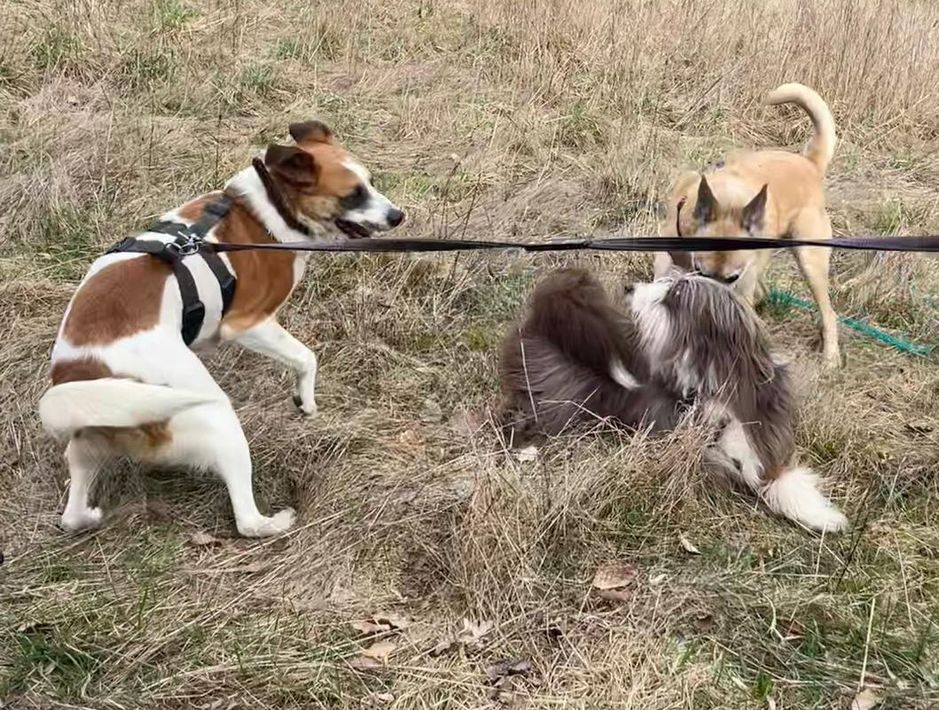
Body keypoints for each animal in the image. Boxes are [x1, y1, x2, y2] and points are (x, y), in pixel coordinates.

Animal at [38, 120, 404, 537]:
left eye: (371, 182)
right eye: (353, 195)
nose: (398, 216)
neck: (266, 210)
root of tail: (88, 370)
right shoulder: (248, 324)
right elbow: (306, 358)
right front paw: (306, 400)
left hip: (89, 438)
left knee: (71, 512)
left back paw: (87, 516)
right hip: (217, 421)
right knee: (246, 520)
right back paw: (276, 522)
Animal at [499, 268, 847, 532]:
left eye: (674, 295)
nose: (629, 287)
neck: (716, 386)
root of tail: (544, 314)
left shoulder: (766, 432)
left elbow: (775, 475)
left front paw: (817, 512)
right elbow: (749, 477)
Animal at [654, 83, 841, 367]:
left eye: (731, 277)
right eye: (700, 271)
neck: (729, 200)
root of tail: (809, 163)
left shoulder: (742, 283)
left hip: (810, 260)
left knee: (829, 312)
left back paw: (830, 358)